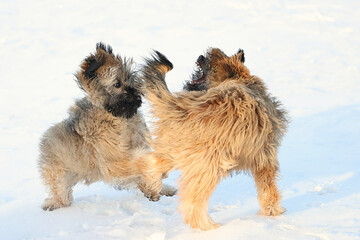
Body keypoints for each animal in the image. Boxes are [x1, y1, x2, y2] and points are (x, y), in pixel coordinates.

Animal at [39, 42, 174, 210]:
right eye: (117, 84)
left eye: (130, 79)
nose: (137, 97)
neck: (117, 119)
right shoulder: (113, 160)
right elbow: (142, 162)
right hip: (60, 176)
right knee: (61, 196)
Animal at [142, 48, 288, 231]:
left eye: (211, 58)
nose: (200, 56)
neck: (242, 80)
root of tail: (182, 107)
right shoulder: (265, 156)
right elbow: (268, 189)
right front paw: (273, 211)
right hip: (208, 164)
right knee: (194, 201)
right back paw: (207, 226)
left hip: (173, 147)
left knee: (152, 163)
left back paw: (152, 187)